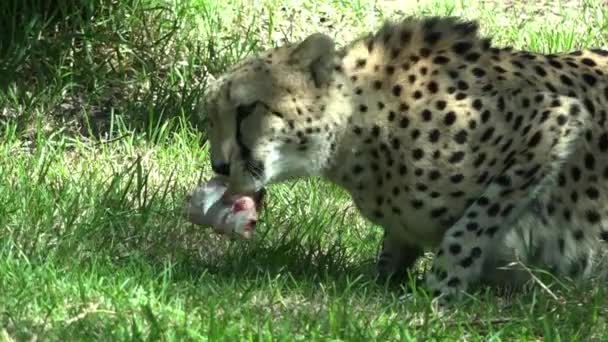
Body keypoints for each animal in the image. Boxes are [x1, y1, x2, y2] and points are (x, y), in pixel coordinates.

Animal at [201, 16, 608, 304]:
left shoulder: (556, 118)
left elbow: (471, 226)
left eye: (246, 109)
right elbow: (396, 245)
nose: (219, 166)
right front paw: (383, 282)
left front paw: (437, 294)